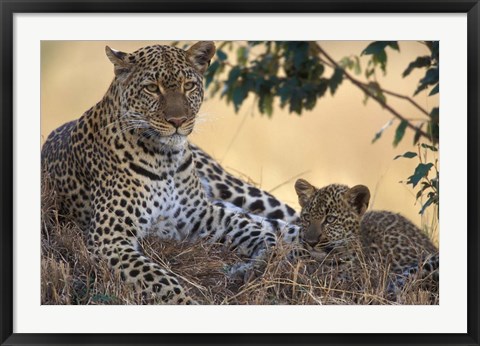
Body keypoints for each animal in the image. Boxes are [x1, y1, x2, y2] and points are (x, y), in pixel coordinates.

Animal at [41, 42, 298, 304]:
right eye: (152, 88)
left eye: (189, 85)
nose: (178, 121)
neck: (165, 159)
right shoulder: (109, 238)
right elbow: (157, 279)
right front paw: (186, 301)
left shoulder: (201, 214)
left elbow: (251, 230)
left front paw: (264, 255)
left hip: (238, 191)